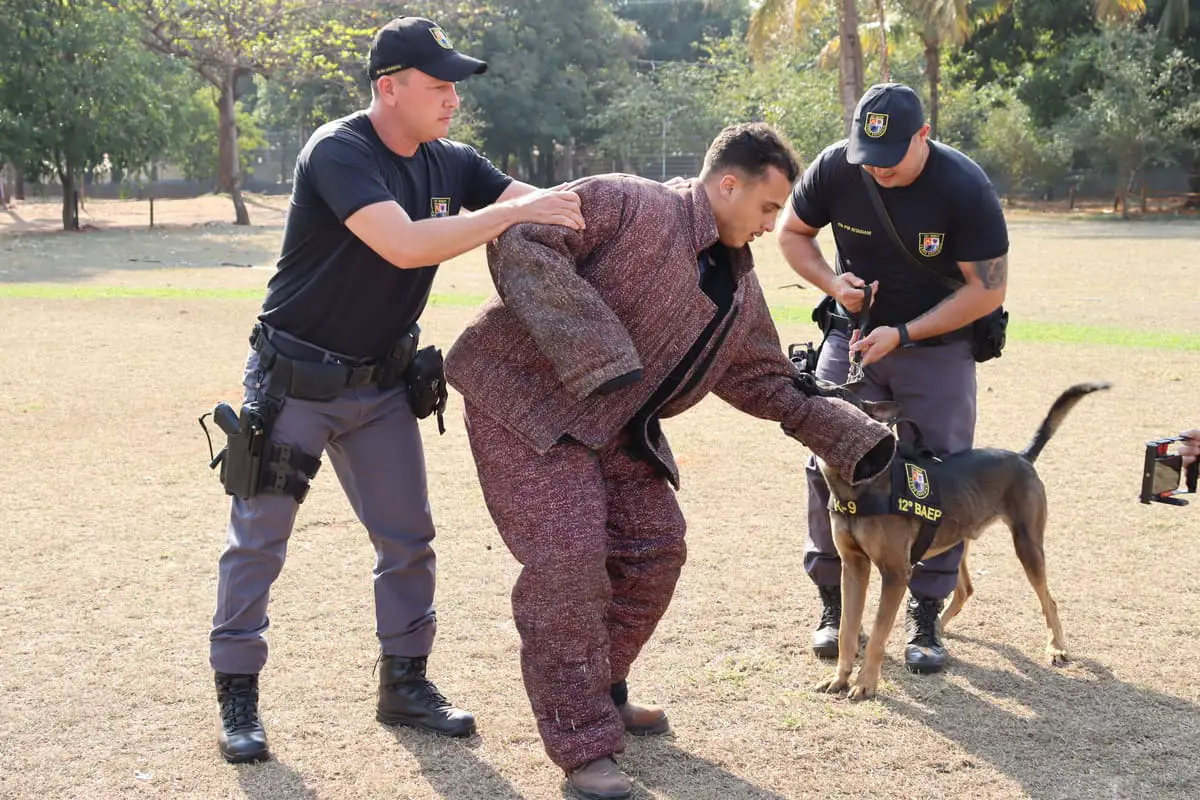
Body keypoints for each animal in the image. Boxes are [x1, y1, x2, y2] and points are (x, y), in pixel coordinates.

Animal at [801, 379, 1108, 695]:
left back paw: (1056, 647)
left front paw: (865, 685)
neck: (859, 484)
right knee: (964, 590)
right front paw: (839, 677)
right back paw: (939, 628)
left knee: (1049, 600)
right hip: (956, 540)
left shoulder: (896, 574)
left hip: (1028, 547)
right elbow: (846, 631)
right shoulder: (853, 567)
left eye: (838, 393)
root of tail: (1022, 457)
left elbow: (876, 635)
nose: (804, 377)